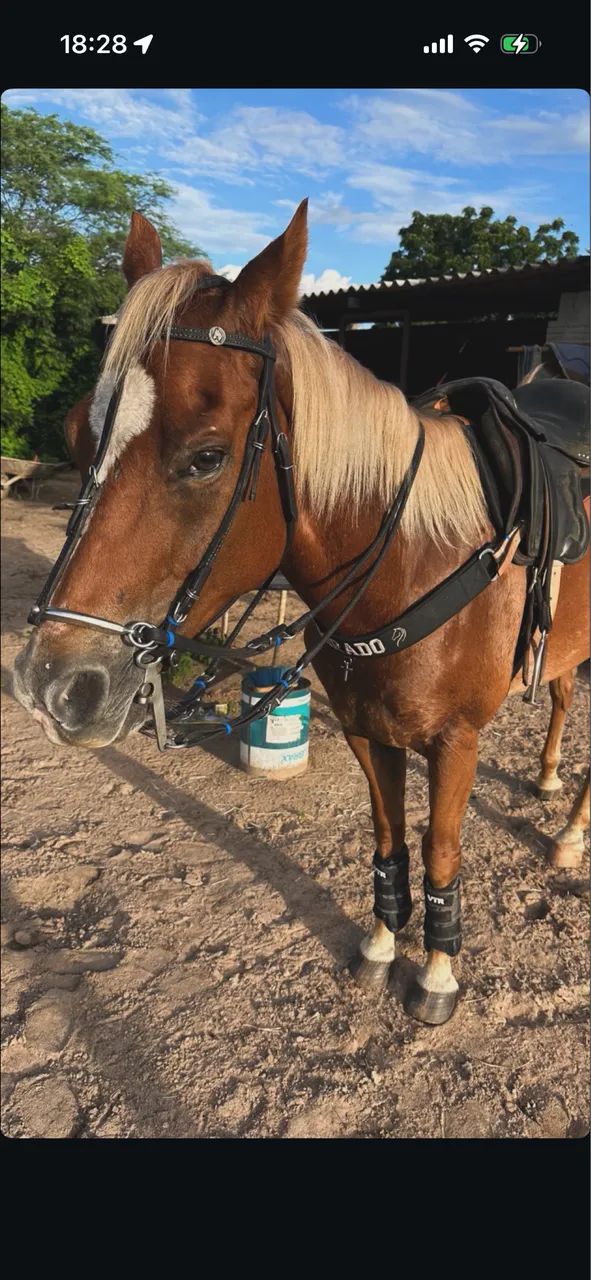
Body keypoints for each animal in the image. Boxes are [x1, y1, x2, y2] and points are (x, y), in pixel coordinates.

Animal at [14, 202, 590, 1026]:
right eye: (74, 435)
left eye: (207, 457)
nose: (51, 686)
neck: (411, 559)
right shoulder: (364, 729)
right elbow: (388, 840)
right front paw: (380, 947)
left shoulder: (455, 742)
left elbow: (440, 850)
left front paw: (437, 972)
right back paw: (546, 785)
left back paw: (569, 834)